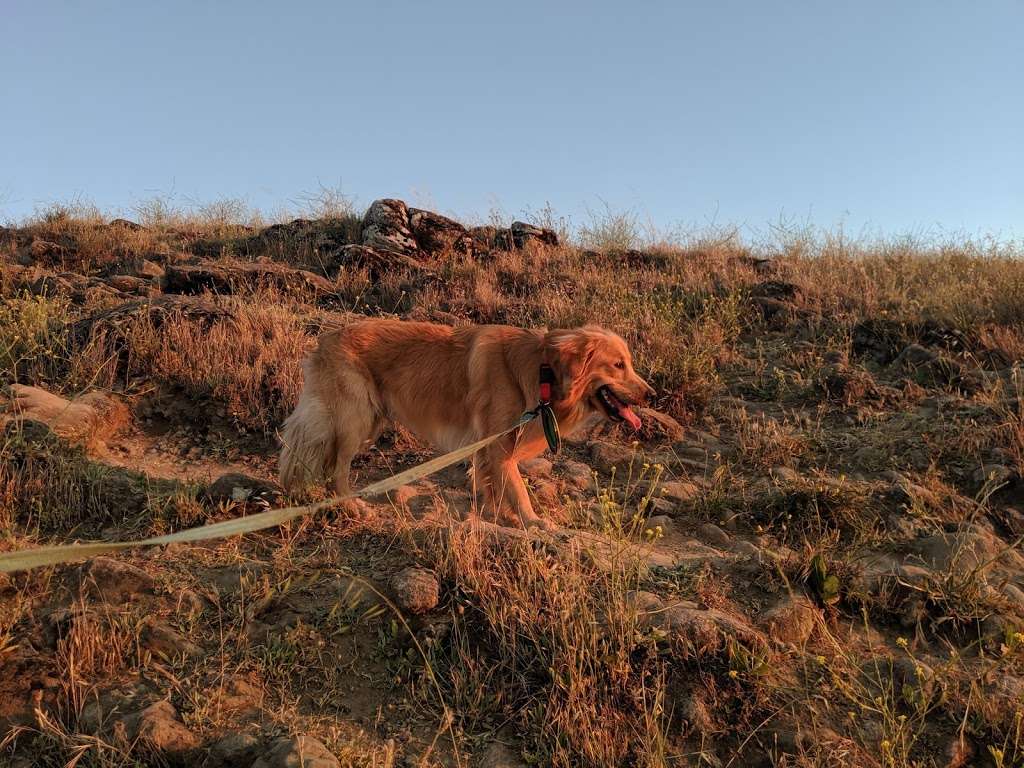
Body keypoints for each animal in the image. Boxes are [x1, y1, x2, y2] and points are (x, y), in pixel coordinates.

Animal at [276, 319, 651, 528]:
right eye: (618, 365)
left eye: (628, 363)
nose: (651, 394)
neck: (543, 371)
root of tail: (325, 340)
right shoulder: (498, 446)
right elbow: (518, 489)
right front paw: (533, 522)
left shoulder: (493, 452)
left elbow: (497, 488)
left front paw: (505, 518)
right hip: (354, 420)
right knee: (336, 468)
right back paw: (351, 505)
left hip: (367, 422)